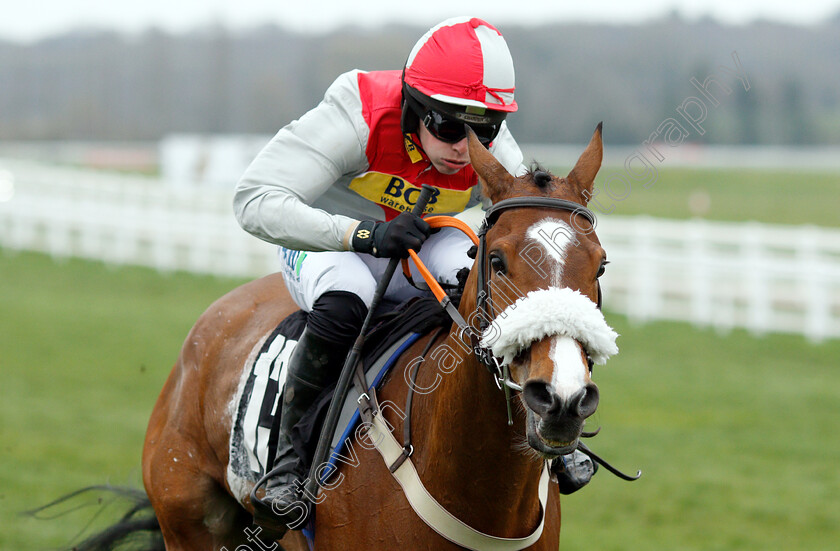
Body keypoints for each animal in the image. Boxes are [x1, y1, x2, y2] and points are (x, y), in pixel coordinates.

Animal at [138, 123, 612, 548]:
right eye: (497, 261)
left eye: (601, 265)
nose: (561, 397)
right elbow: (258, 193)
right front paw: (391, 233)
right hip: (188, 519)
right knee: (340, 305)